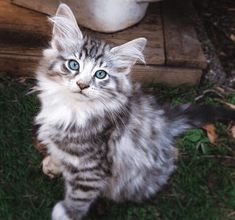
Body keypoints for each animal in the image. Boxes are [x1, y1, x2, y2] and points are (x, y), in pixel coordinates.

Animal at [35, 3, 235, 220]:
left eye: (100, 74)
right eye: (73, 64)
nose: (82, 85)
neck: (72, 108)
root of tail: (164, 120)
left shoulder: (92, 166)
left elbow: (80, 194)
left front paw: (66, 213)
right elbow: (58, 150)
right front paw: (55, 163)